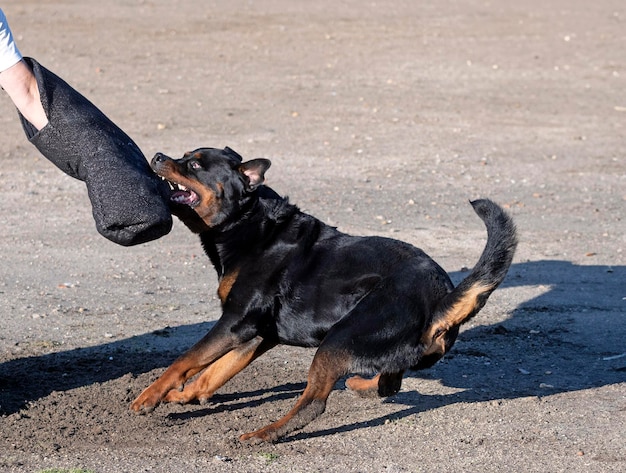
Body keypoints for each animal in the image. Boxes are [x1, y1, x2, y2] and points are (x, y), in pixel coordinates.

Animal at [129, 146, 516, 440]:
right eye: (182, 155)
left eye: (194, 164)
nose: (158, 155)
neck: (249, 224)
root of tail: (441, 301)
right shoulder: (258, 332)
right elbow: (216, 370)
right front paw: (186, 395)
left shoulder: (236, 323)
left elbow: (186, 360)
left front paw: (150, 396)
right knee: (390, 382)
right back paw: (362, 384)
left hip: (340, 338)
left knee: (314, 403)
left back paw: (264, 434)